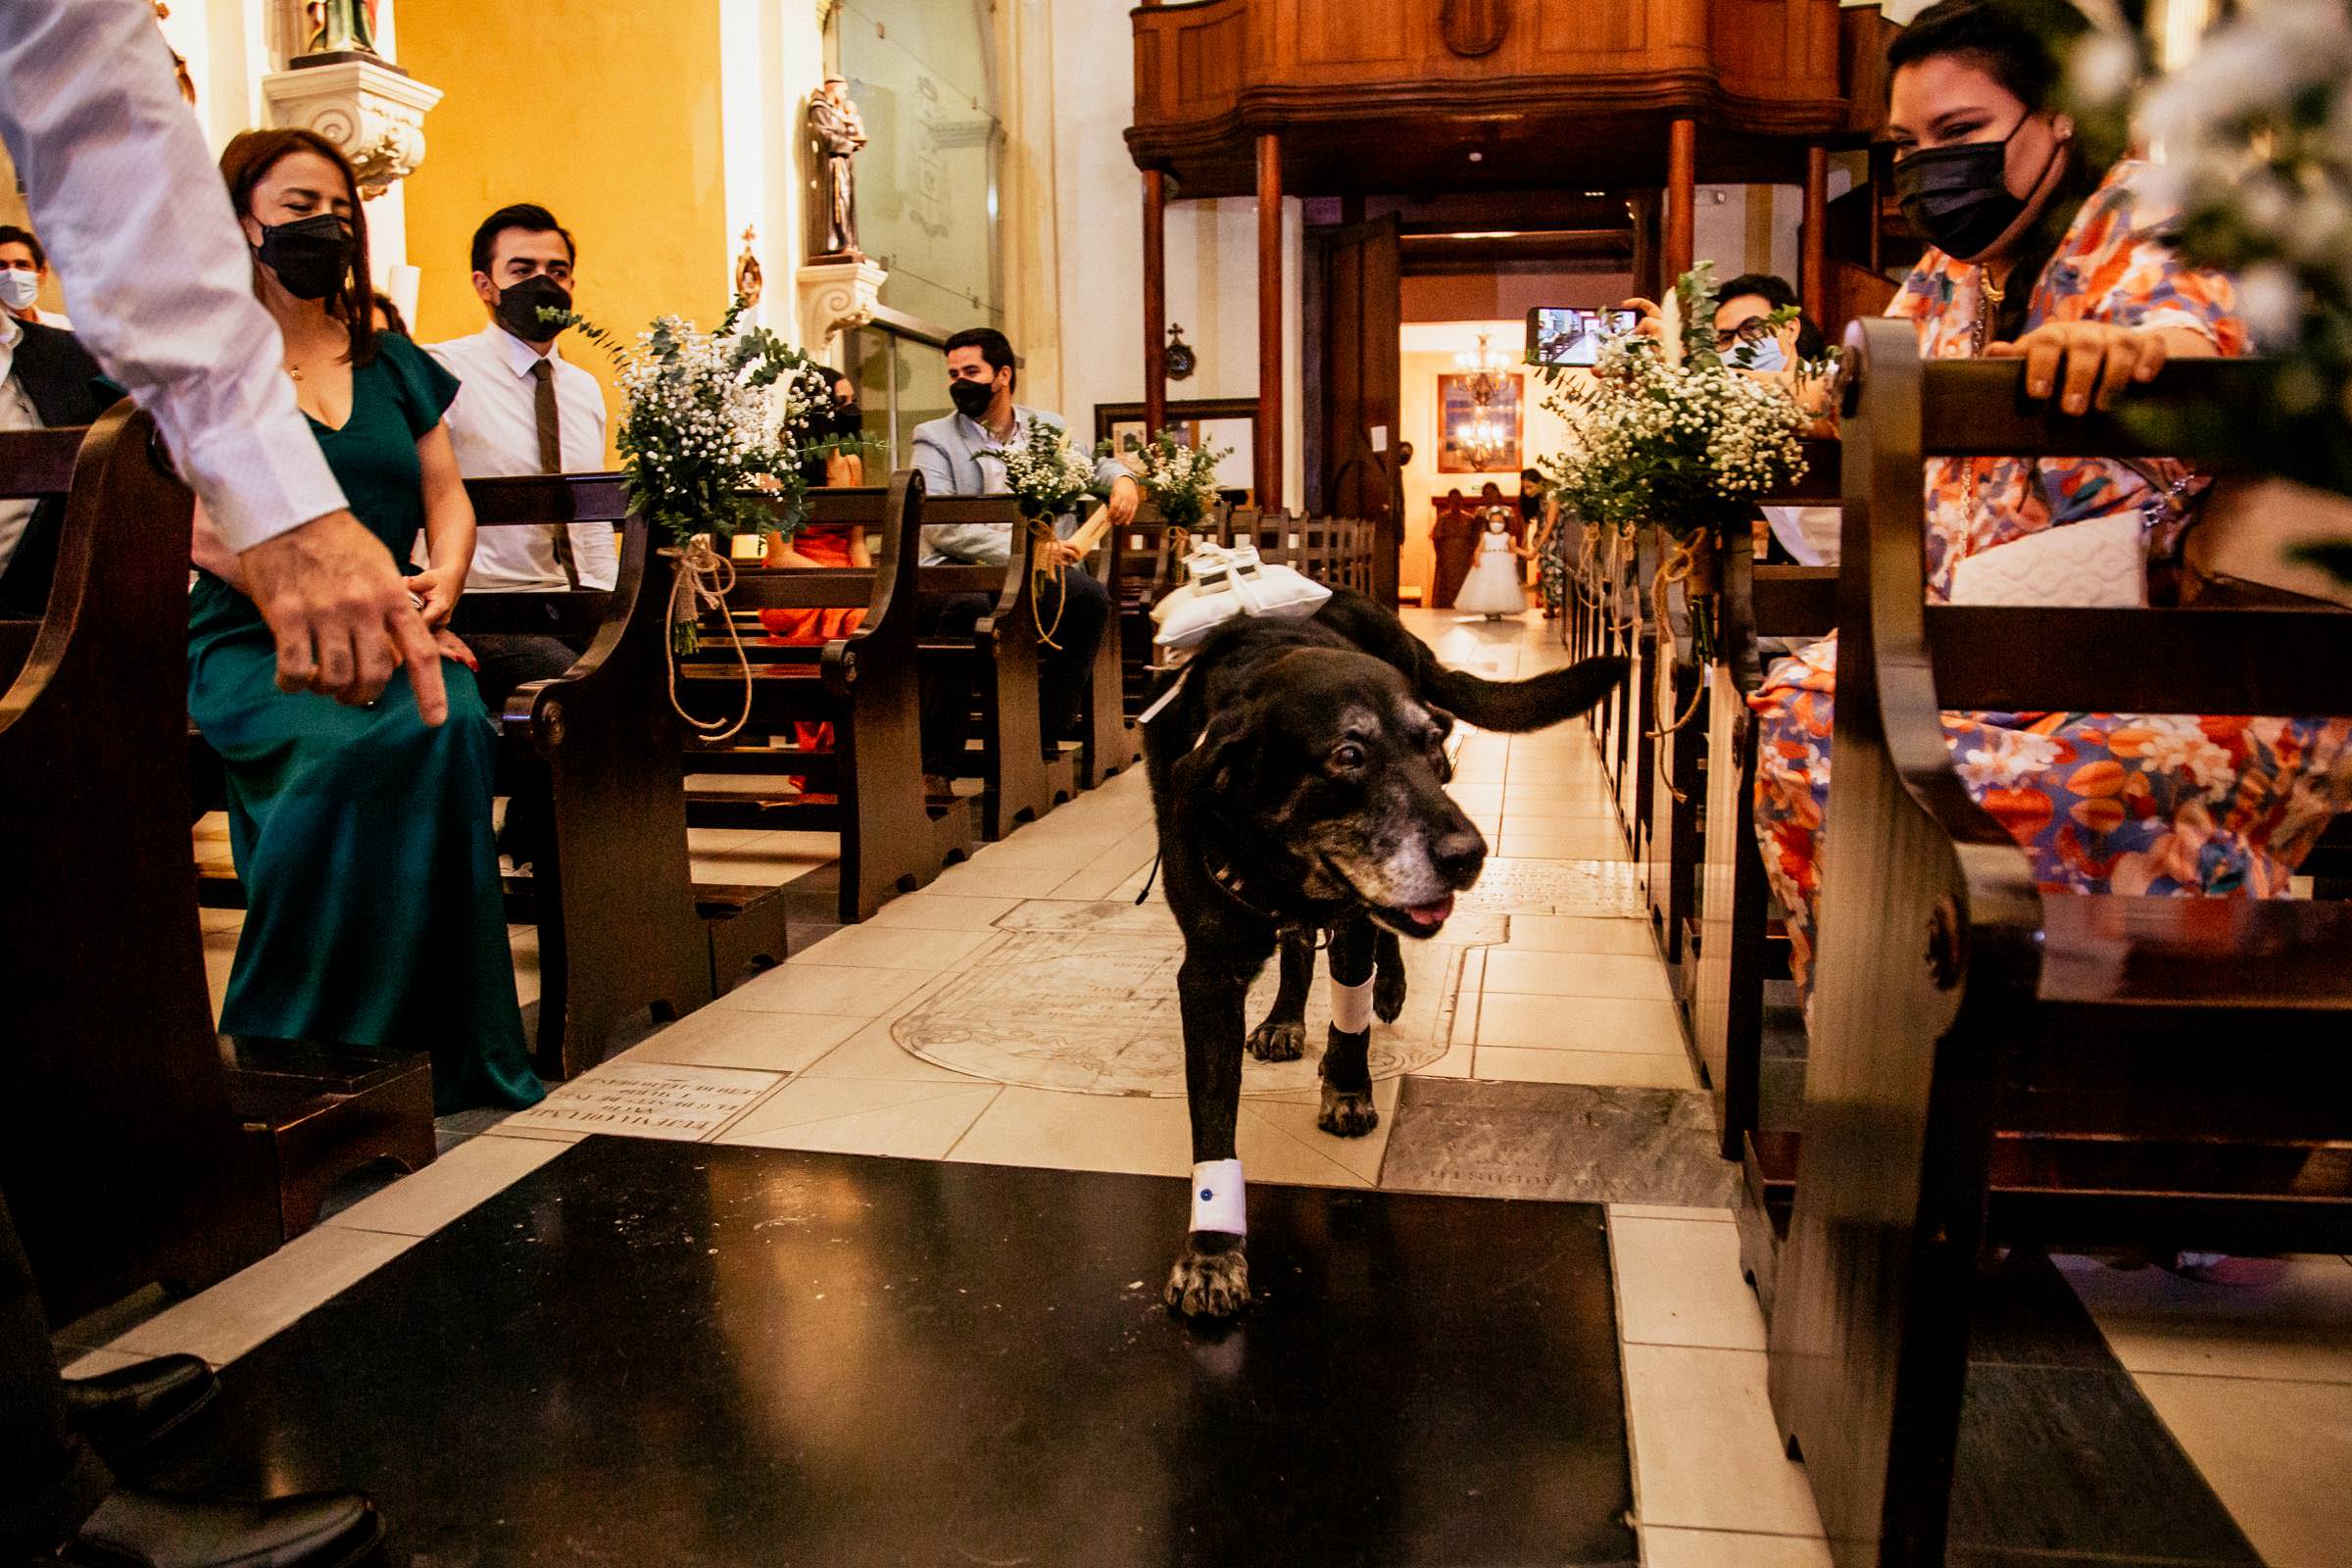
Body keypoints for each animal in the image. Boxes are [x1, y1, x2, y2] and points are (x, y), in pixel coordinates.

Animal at [1133, 594, 1618, 1316]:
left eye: (1431, 744)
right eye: (1349, 753)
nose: (1469, 856)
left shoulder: (1354, 920)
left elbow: (1351, 1020)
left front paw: (1347, 1088)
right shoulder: (1209, 973)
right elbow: (1213, 1117)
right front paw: (1212, 1253)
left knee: (1368, 950)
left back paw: (1384, 991)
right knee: (1299, 950)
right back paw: (1284, 1019)